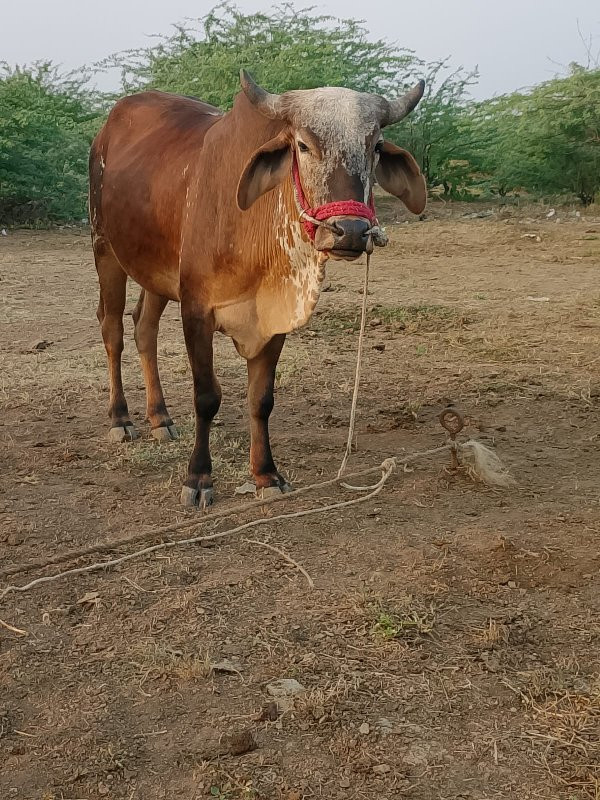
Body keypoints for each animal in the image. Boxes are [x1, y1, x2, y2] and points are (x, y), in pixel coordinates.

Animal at [89, 70, 426, 506]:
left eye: (377, 147)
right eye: (303, 145)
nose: (350, 231)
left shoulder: (274, 318)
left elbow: (261, 398)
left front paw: (266, 474)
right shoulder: (195, 308)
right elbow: (207, 396)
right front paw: (198, 478)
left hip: (155, 272)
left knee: (143, 327)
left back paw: (160, 417)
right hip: (105, 249)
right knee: (112, 330)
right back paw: (121, 418)